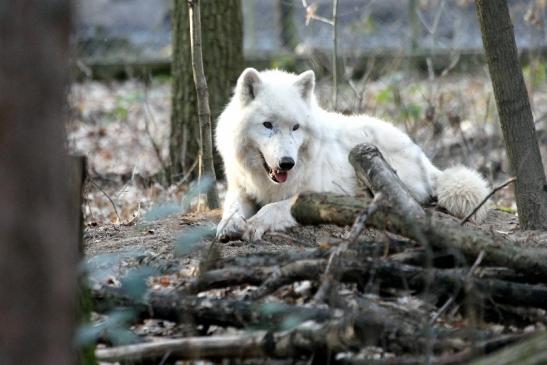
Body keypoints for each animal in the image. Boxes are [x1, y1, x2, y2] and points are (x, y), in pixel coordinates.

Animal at [214, 68, 488, 240]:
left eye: (295, 127)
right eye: (267, 125)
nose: (287, 163)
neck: (267, 182)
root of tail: (427, 162)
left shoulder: (314, 194)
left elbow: (273, 208)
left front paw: (254, 224)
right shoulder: (241, 188)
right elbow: (231, 207)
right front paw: (230, 224)